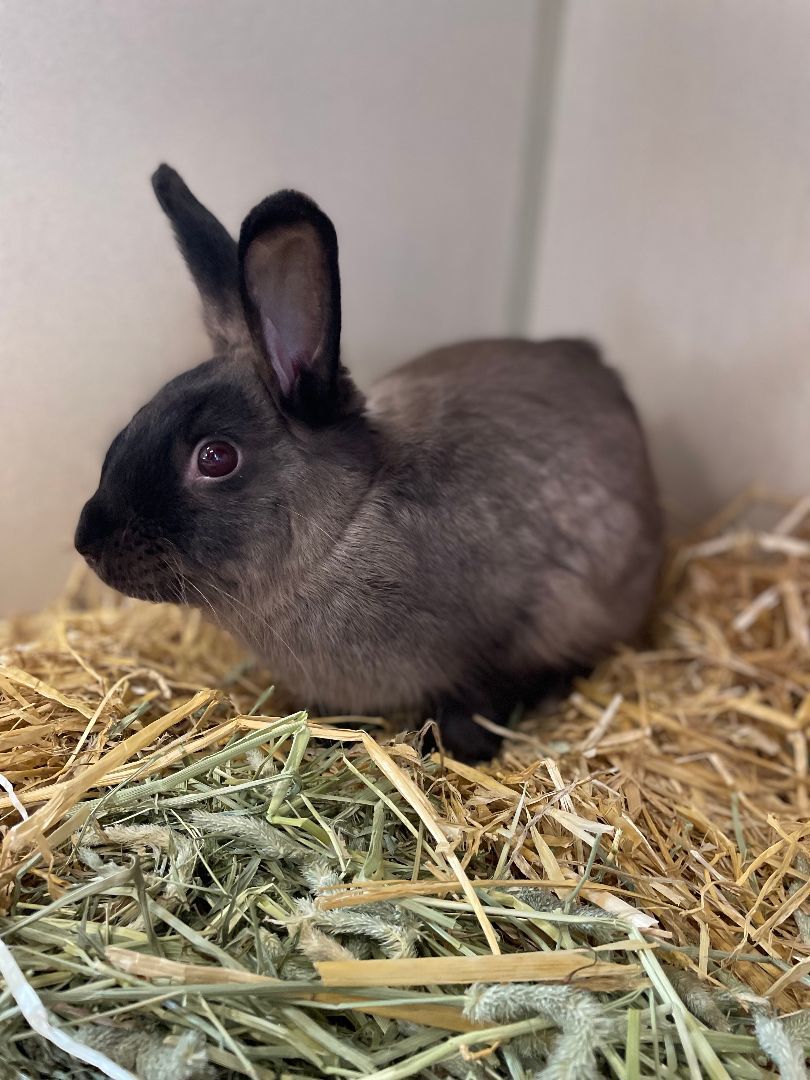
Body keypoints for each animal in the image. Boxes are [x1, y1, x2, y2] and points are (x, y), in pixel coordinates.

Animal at [75, 164, 663, 762]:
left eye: (216, 458)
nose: (87, 542)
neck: (342, 533)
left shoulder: (506, 640)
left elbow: (475, 705)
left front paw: (458, 752)